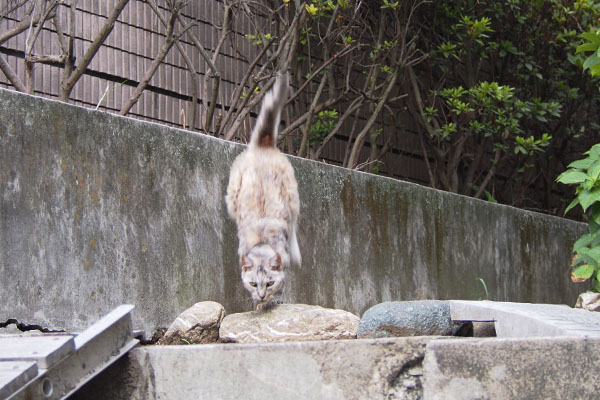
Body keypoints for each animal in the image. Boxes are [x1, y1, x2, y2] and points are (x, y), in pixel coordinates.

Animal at [225, 72, 300, 310]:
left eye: (269, 283)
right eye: (252, 284)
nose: (260, 295)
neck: (262, 242)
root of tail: (263, 145)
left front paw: (274, 300)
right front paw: (257, 304)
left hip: (293, 199)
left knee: (295, 225)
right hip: (231, 197)